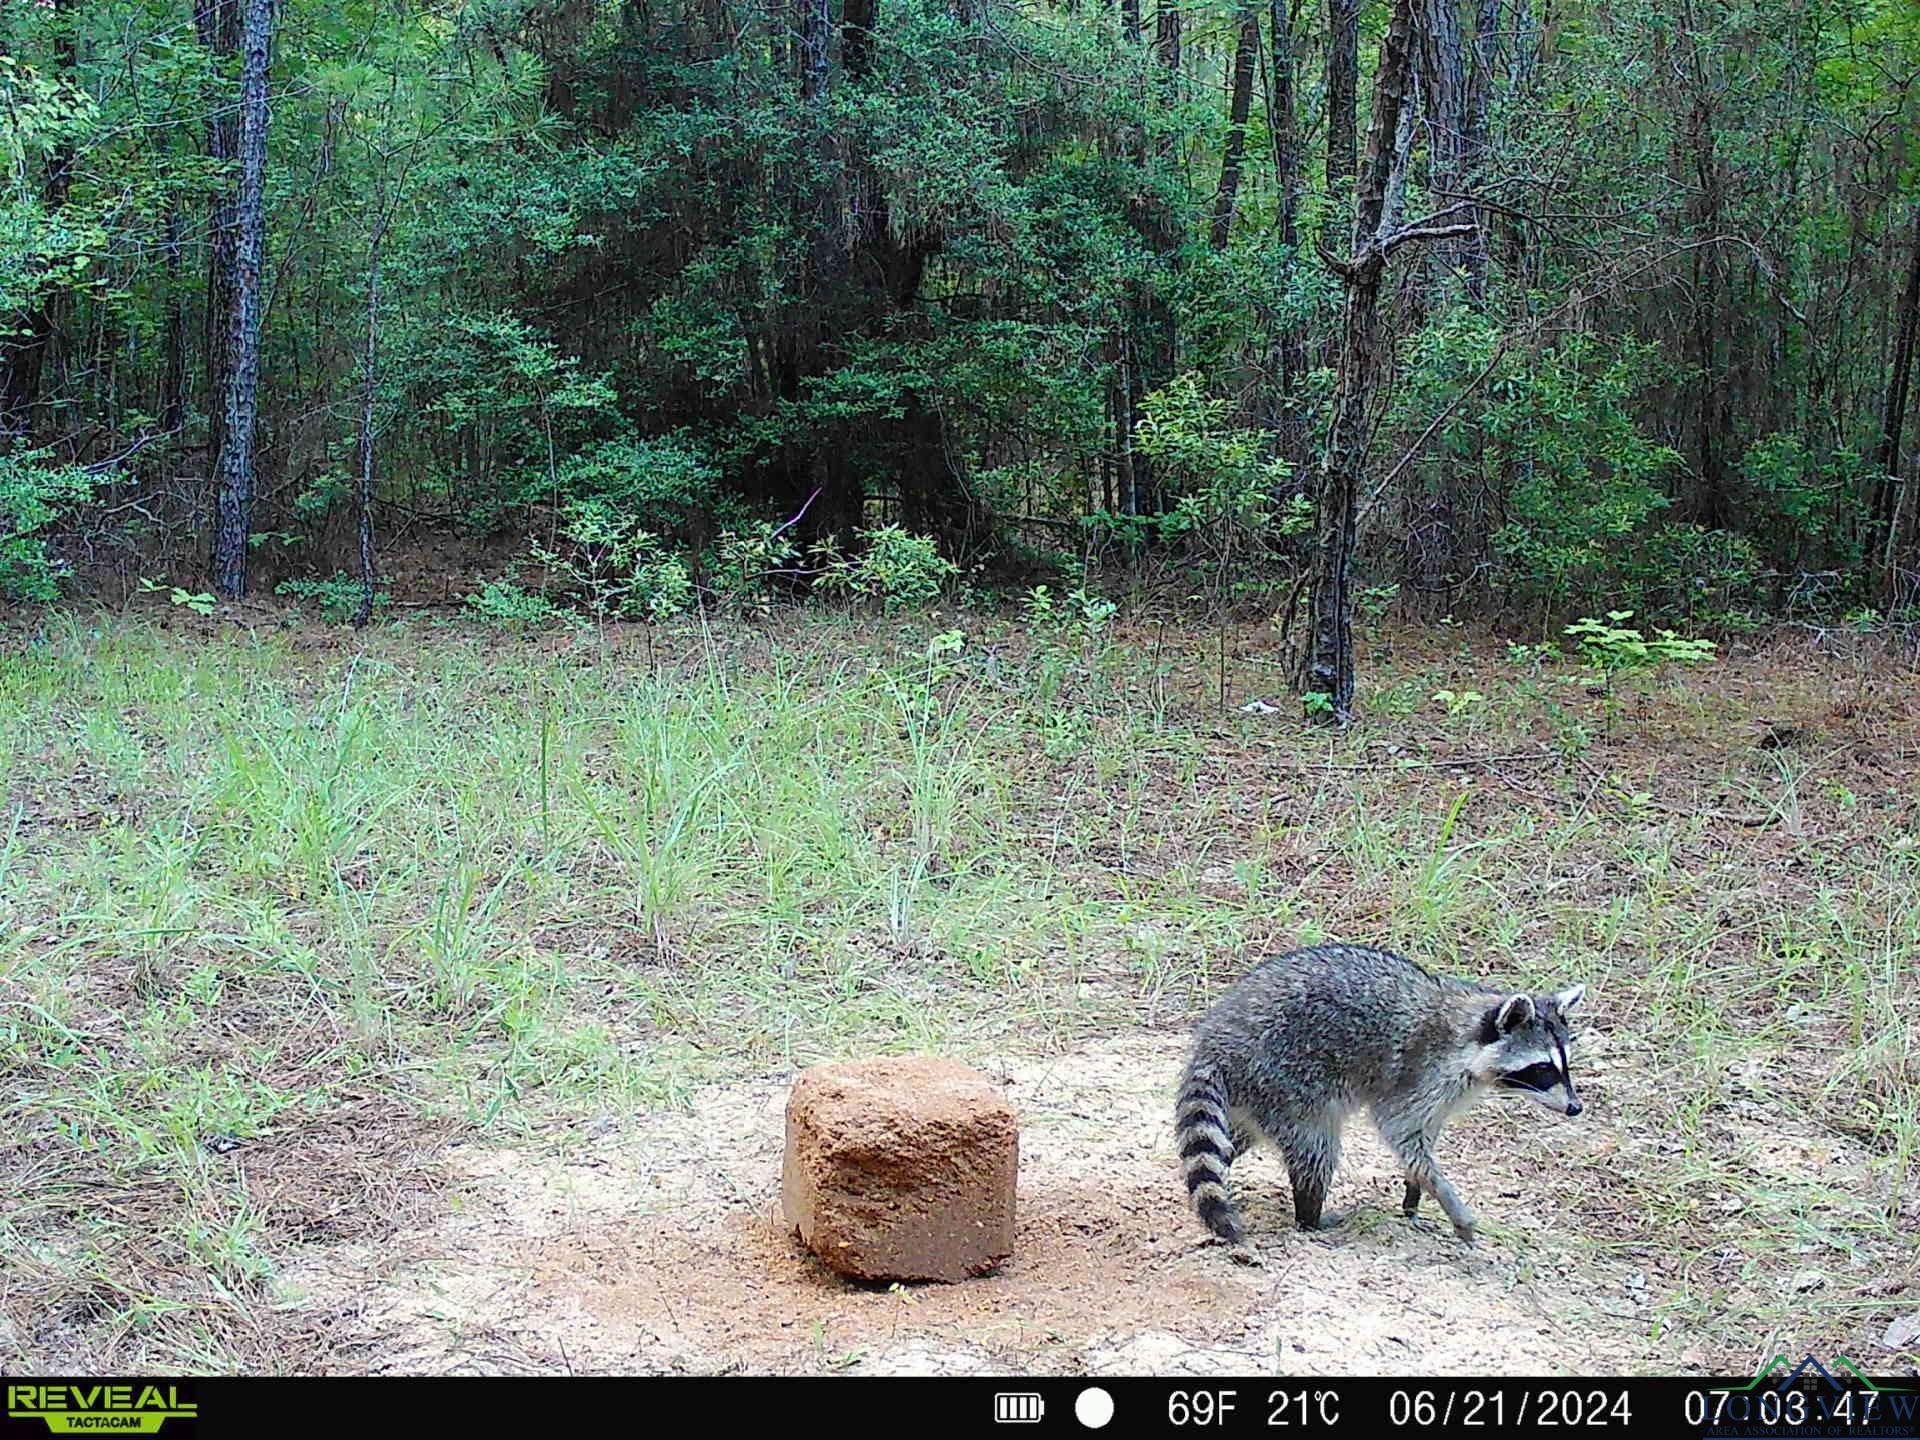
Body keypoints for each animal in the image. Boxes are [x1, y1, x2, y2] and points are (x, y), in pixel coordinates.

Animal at [1175, 948, 1582, 1251]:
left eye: (1565, 1064)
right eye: (1543, 1068)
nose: (1575, 1107)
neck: (1469, 1038)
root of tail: (1215, 1042)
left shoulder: (1444, 1097)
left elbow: (1422, 1141)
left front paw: (1413, 1196)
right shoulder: (1422, 1074)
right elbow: (1401, 1133)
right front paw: (1446, 1196)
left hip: (1256, 1095)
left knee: (1232, 1139)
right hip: (1286, 1078)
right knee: (1316, 1148)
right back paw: (1310, 1215)